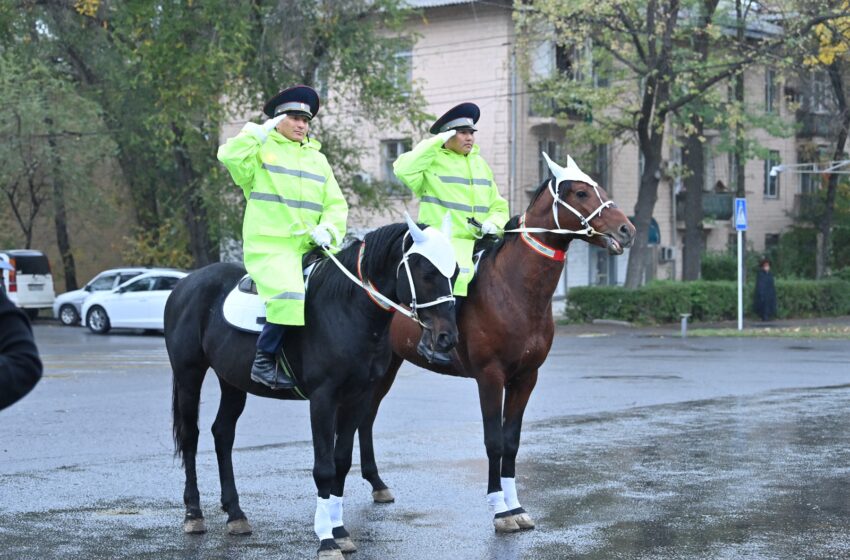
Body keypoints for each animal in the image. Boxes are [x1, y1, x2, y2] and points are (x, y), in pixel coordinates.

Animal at [163, 220, 460, 560]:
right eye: (427, 272)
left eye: (455, 272)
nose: (447, 338)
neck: (348, 309)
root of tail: (185, 284)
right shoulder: (323, 399)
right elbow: (324, 467)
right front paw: (326, 540)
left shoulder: (357, 398)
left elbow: (342, 460)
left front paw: (340, 531)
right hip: (189, 375)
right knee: (190, 437)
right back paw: (194, 514)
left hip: (232, 381)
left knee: (222, 433)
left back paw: (235, 514)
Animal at [354, 155, 632, 532]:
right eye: (581, 192)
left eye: (599, 186)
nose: (627, 230)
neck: (515, 290)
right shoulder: (490, 376)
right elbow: (494, 441)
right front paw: (500, 510)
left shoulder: (525, 378)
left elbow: (511, 441)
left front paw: (516, 507)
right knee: (362, 417)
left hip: (388, 367)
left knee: (366, 417)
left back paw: (377, 483)